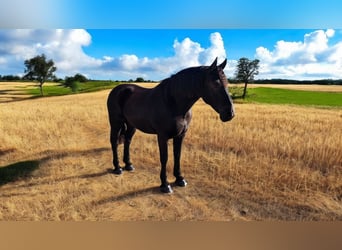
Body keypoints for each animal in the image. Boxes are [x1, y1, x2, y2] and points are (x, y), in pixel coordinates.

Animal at [107, 58, 235, 193]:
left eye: (227, 82)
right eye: (215, 84)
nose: (230, 113)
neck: (173, 102)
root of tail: (117, 89)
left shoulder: (180, 135)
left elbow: (177, 155)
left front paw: (180, 179)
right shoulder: (162, 136)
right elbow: (164, 158)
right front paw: (165, 184)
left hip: (131, 125)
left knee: (127, 141)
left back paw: (128, 165)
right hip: (115, 123)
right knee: (114, 141)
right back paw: (117, 168)